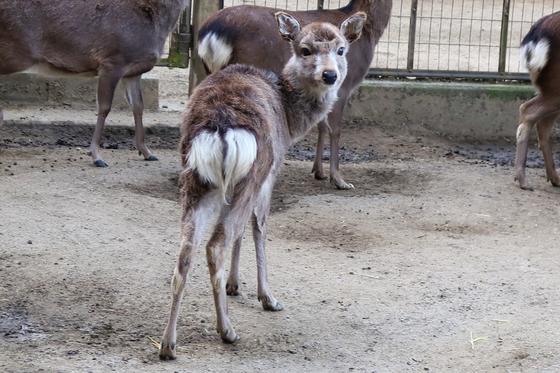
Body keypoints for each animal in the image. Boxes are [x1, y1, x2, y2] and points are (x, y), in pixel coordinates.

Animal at [0, 0, 190, 166]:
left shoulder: (134, 71)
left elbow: (138, 106)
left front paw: (147, 152)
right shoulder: (112, 62)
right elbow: (104, 108)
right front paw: (96, 156)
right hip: (15, 53)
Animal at [159, 13, 368, 358]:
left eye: (341, 49)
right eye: (305, 49)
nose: (329, 75)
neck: (289, 117)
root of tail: (220, 126)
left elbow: (242, 232)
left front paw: (235, 285)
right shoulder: (272, 171)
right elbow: (260, 226)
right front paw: (267, 297)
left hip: (196, 179)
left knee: (185, 252)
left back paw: (168, 344)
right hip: (252, 172)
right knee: (216, 243)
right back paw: (227, 331)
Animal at [199, 0, 392, 190]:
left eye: (340, 50)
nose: (330, 75)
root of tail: (211, 33)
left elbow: (322, 125)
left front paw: (319, 171)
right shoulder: (343, 88)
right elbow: (335, 129)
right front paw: (339, 180)